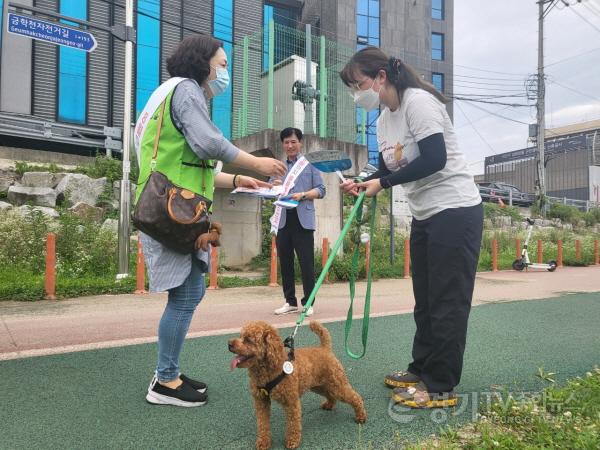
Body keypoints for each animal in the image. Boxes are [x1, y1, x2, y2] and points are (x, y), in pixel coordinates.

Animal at [227, 322, 366, 448]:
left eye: (248, 339)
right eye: (240, 335)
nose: (229, 344)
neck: (268, 368)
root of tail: (325, 348)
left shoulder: (291, 401)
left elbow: (293, 423)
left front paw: (292, 441)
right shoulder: (261, 400)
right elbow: (262, 423)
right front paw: (263, 442)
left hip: (336, 384)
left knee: (355, 397)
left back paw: (361, 416)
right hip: (320, 386)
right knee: (330, 394)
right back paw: (329, 405)